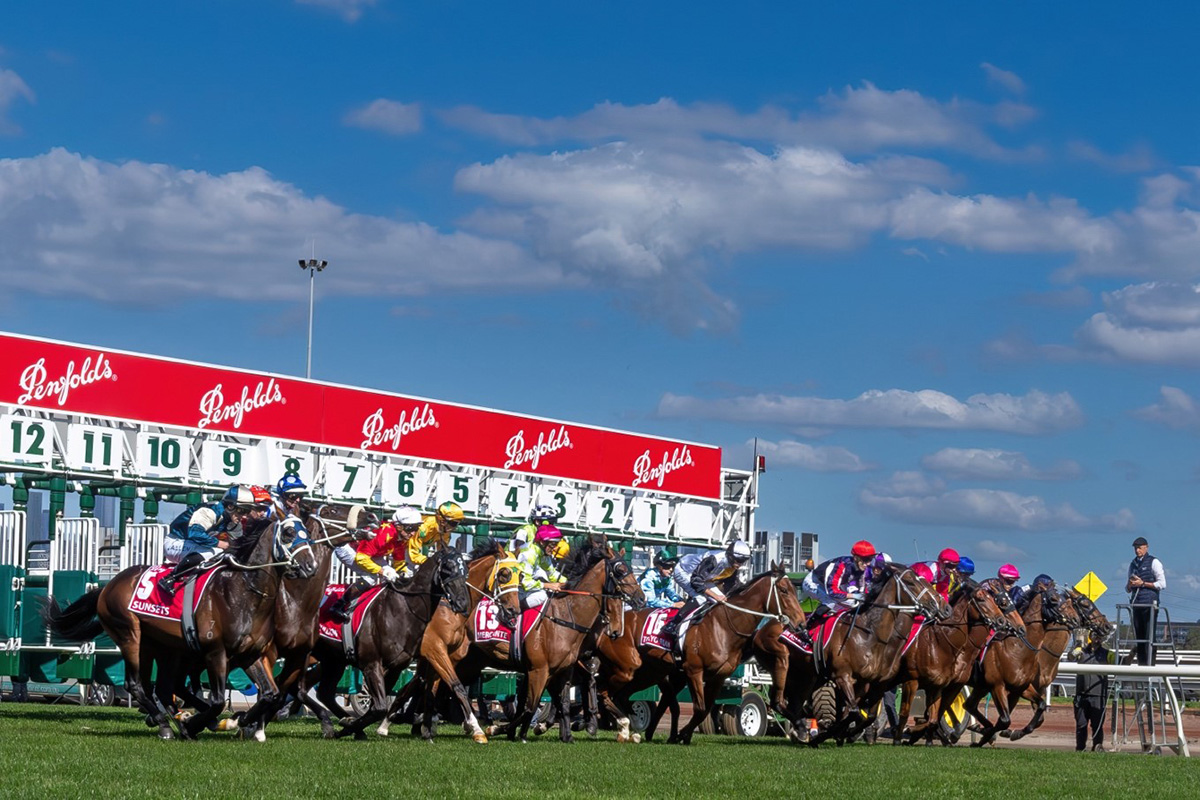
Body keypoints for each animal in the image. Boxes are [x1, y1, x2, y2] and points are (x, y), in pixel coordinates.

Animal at [46, 520, 319, 738]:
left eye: (308, 532)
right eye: (288, 532)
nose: (310, 566)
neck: (243, 593)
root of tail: (108, 586)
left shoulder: (250, 654)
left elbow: (270, 694)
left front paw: (241, 721)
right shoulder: (215, 652)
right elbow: (217, 701)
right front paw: (201, 724)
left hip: (161, 648)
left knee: (161, 688)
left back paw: (173, 719)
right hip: (129, 635)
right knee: (136, 684)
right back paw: (165, 724)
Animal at [456, 537, 648, 743]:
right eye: (620, 570)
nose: (641, 598)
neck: (566, 618)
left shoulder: (562, 669)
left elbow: (560, 701)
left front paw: (568, 733)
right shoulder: (539, 669)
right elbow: (530, 706)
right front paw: (510, 730)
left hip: (471, 660)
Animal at [897, 582, 1017, 743]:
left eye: (994, 600)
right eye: (981, 599)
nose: (1002, 621)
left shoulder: (949, 684)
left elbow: (934, 716)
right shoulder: (914, 681)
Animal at [960, 578, 1084, 748]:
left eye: (1067, 600)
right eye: (1053, 599)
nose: (1076, 619)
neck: (1018, 647)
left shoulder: (1021, 687)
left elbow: (1040, 705)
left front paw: (1016, 732)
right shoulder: (997, 685)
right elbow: (1004, 720)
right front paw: (988, 735)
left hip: (980, 687)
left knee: (969, 705)